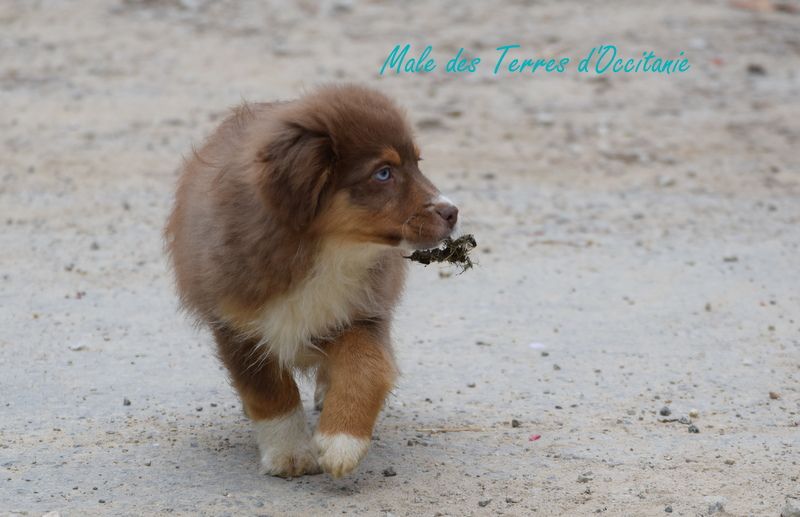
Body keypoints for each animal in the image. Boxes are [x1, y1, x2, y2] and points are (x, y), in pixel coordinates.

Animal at [166, 83, 460, 476]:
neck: (328, 252)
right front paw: (289, 453)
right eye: (383, 173)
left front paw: (342, 441)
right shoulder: (237, 325)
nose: (453, 212)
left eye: (418, 163)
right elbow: (269, 391)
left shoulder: (363, 312)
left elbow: (366, 367)